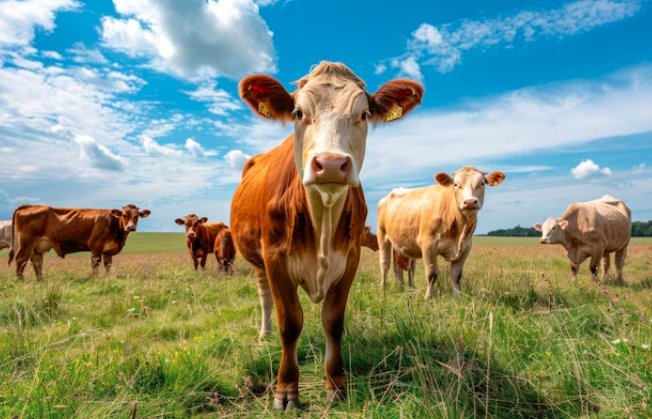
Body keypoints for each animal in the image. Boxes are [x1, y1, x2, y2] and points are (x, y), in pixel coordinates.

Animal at [9, 205, 150, 280]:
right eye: (124, 215)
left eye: (136, 216)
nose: (131, 227)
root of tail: (29, 206)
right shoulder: (96, 247)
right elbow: (95, 265)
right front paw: (95, 279)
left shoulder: (107, 251)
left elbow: (108, 266)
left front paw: (107, 278)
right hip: (26, 243)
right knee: (21, 260)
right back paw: (20, 281)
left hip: (36, 247)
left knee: (36, 263)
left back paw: (41, 281)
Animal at [232, 60, 426, 408]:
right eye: (298, 112)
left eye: (363, 114)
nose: (332, 164)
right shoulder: (275, 260)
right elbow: (290, 323)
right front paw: (286, 389)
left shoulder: (350, 259)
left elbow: (333, 322)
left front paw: (336, 384)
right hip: (258, 263)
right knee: (265, 298)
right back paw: (264, 333)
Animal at [376, 166, 504, 300]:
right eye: (456, 184)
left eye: (482, 183)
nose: (469, 202)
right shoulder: (428, 244)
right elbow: (432, 274)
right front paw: (428, 298)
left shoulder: (465, 247)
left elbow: (456, 275)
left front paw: (457, 297)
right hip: (382, 235)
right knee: (384, 264)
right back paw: (383, 289)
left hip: (402, 242)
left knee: (400, 267)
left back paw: (403, 290)